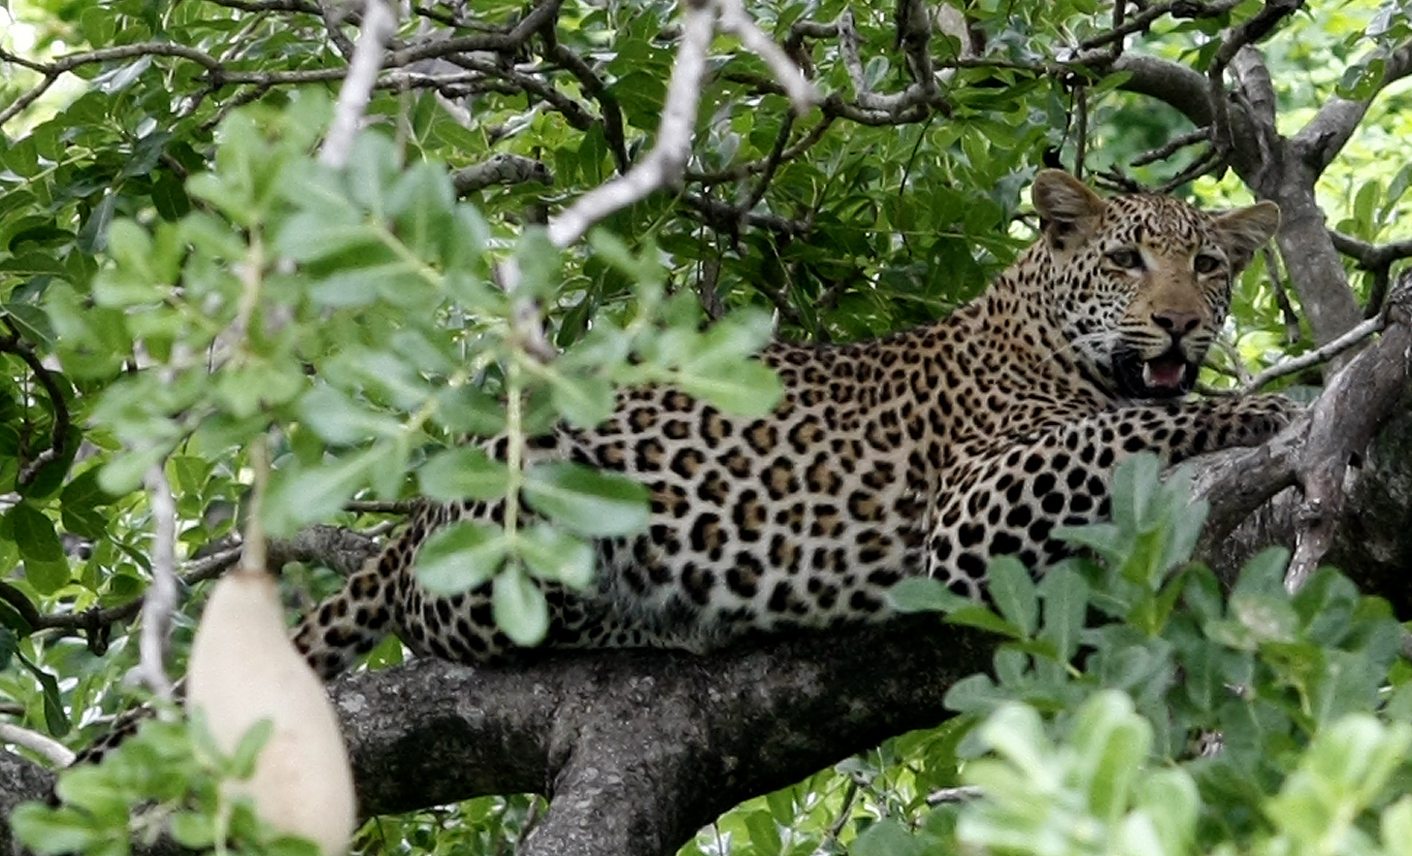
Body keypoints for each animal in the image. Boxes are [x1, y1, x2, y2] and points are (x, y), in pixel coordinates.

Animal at [286, 169, 1294, 681]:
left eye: (1208, 265)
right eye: (1126, 261)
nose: (1180, 323)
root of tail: (423, 502)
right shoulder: (971, 507)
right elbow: (1116, 431)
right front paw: (1262, 406)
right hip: (528, 494)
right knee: (462, 620)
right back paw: (676, 619)